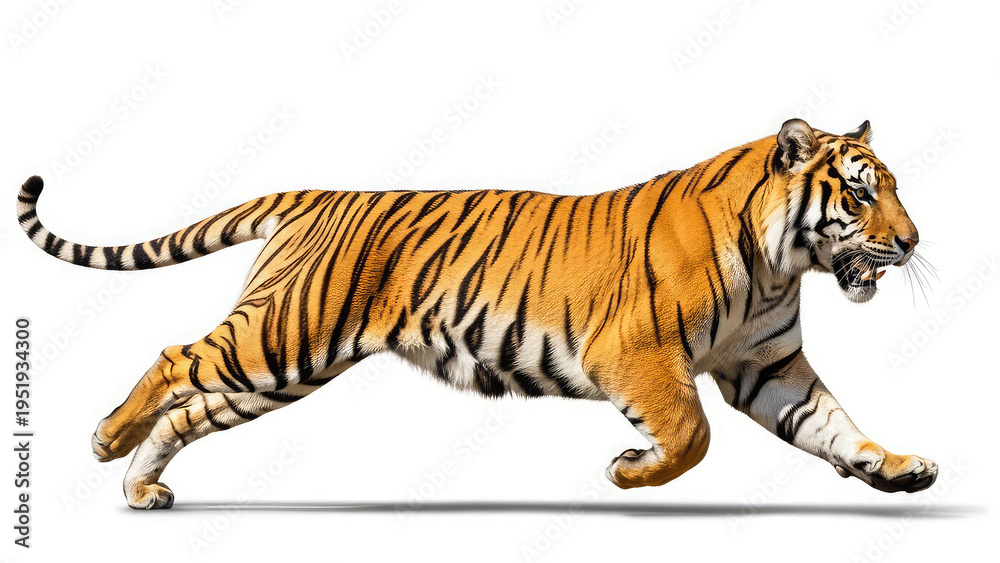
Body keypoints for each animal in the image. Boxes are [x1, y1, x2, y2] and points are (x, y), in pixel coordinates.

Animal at [17, 118, 937, 509]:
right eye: (862, 192)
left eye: (896, 187)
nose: (913, 239)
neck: (783, 266)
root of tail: (320, 195)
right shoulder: (636, 353)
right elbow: (691, 434)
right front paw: (626, 472)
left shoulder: (766, 364)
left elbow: (834, 424)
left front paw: (899, 468)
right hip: (282, 339)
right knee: (175, 358)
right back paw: (106, 442)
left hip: (281, 370)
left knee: (193, 407)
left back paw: (141, 488)